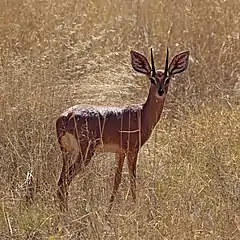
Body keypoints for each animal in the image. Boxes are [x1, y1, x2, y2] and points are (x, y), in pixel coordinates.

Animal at [56, 47, 189, 211]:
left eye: (167, 79)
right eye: (152, 79)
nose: (160, 91)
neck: (141, 114)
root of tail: (67, 116)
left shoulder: (119, 153)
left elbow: (117, 180)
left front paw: (109, 211)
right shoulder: (132, 150)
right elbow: (132, 179)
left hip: (67, 153)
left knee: (61, 182)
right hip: (84, 153)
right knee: (64, 182)